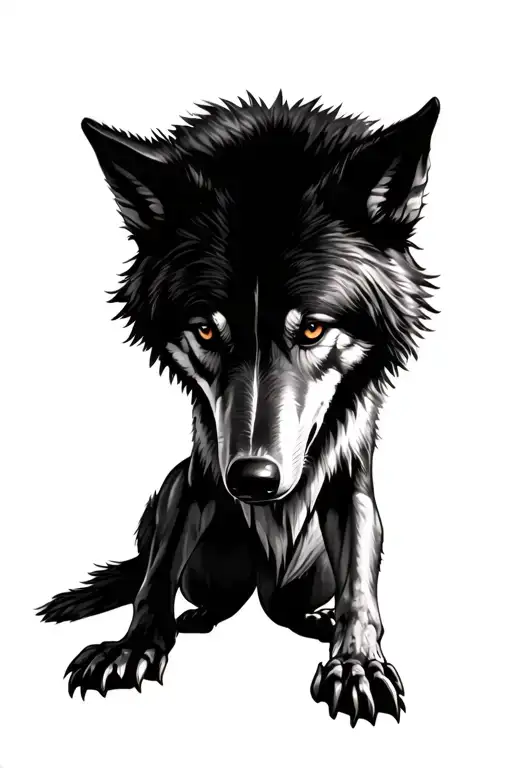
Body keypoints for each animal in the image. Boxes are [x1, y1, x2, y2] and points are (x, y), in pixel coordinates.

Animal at [37, 92, 439, 726]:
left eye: (313, 328)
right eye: (206, 329)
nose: (251, 480)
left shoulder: (352, 486)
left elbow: (359, 585)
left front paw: (355, 664)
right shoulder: (196, 481)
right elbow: (155, 576)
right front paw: (132, 649)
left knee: (286, 612)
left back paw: (314, 622)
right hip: (198, 539)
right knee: (185, 586)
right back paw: (193, 618)